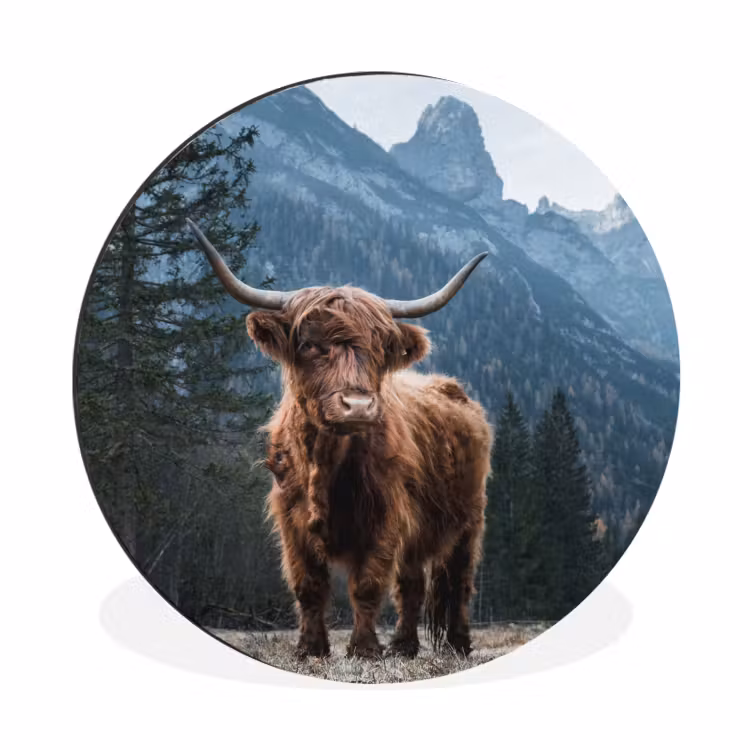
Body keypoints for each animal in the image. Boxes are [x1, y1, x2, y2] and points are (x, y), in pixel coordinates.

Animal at [187, 218, 493, 659]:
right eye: (310, 344)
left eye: (380, 349)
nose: (358, 406)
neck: (325, 461)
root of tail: (452, 388)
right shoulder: (291, 520)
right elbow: (309, 586)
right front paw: (310, 648)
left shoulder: (385, 517)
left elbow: (367, 586)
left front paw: (363, 649)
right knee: (412, 585)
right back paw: (404, 646)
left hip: (470, 519)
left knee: (460, 582)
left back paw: (458, 644)